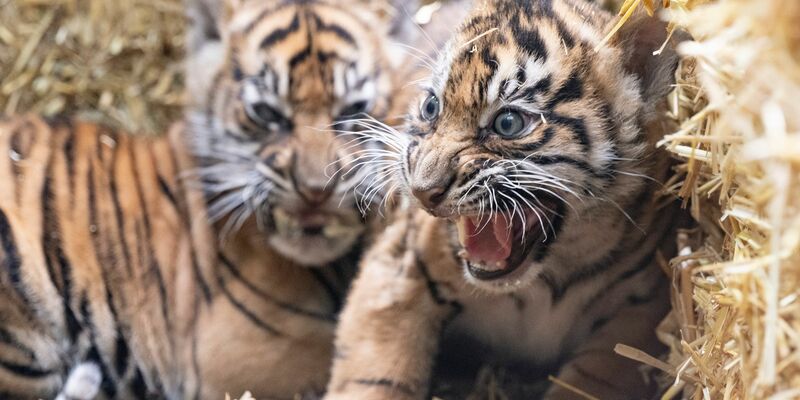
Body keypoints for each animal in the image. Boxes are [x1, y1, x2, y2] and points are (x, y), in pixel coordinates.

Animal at [324, 1, 686, 399]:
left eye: (508, 123)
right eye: (432, 107)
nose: (422, 191)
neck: (545, 280)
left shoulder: (636, 314)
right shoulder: (399, 268)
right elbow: (375, 375)